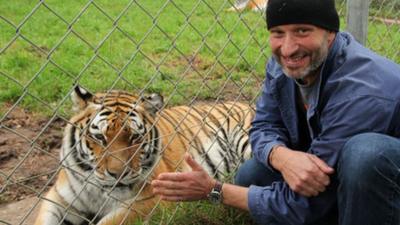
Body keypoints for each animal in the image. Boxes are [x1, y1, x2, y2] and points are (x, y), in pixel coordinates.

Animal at [33, 86, 253, 225]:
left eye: (135, 137)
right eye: (100, 137)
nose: (118, 174)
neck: (99, 191)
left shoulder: (151, 199)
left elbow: (111, 222)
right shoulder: (59, 199)